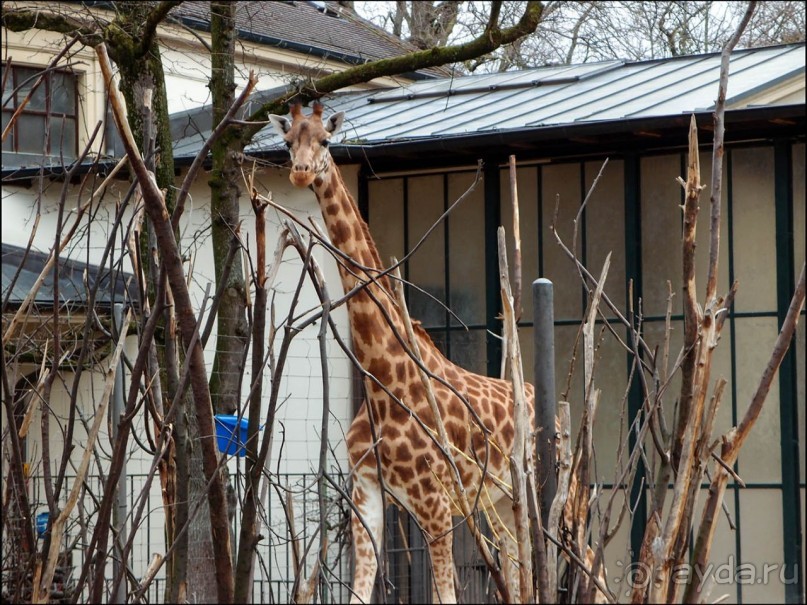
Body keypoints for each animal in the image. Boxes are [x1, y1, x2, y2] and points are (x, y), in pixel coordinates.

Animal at [268, 104, 604, 604]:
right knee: (520, 566)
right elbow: (359, 593)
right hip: (502, 501)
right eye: (288, 141)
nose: (301, 172)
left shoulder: (435, 503)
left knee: (590, 561)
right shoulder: (367, 495)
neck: (383, 380)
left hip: (558, 489)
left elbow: (446, 595)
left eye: (325, 142)